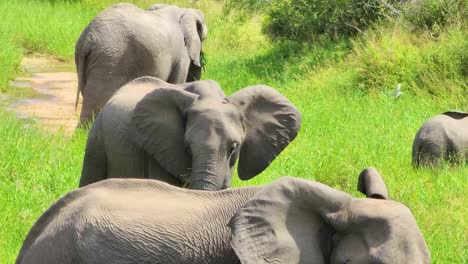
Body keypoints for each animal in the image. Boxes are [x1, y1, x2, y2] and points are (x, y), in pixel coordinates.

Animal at [75, 2, 207, 127]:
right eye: (204, 38)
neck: (184, 10)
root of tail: (87, 38)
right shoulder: (181, 54)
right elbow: (177, 81)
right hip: (110, 59)